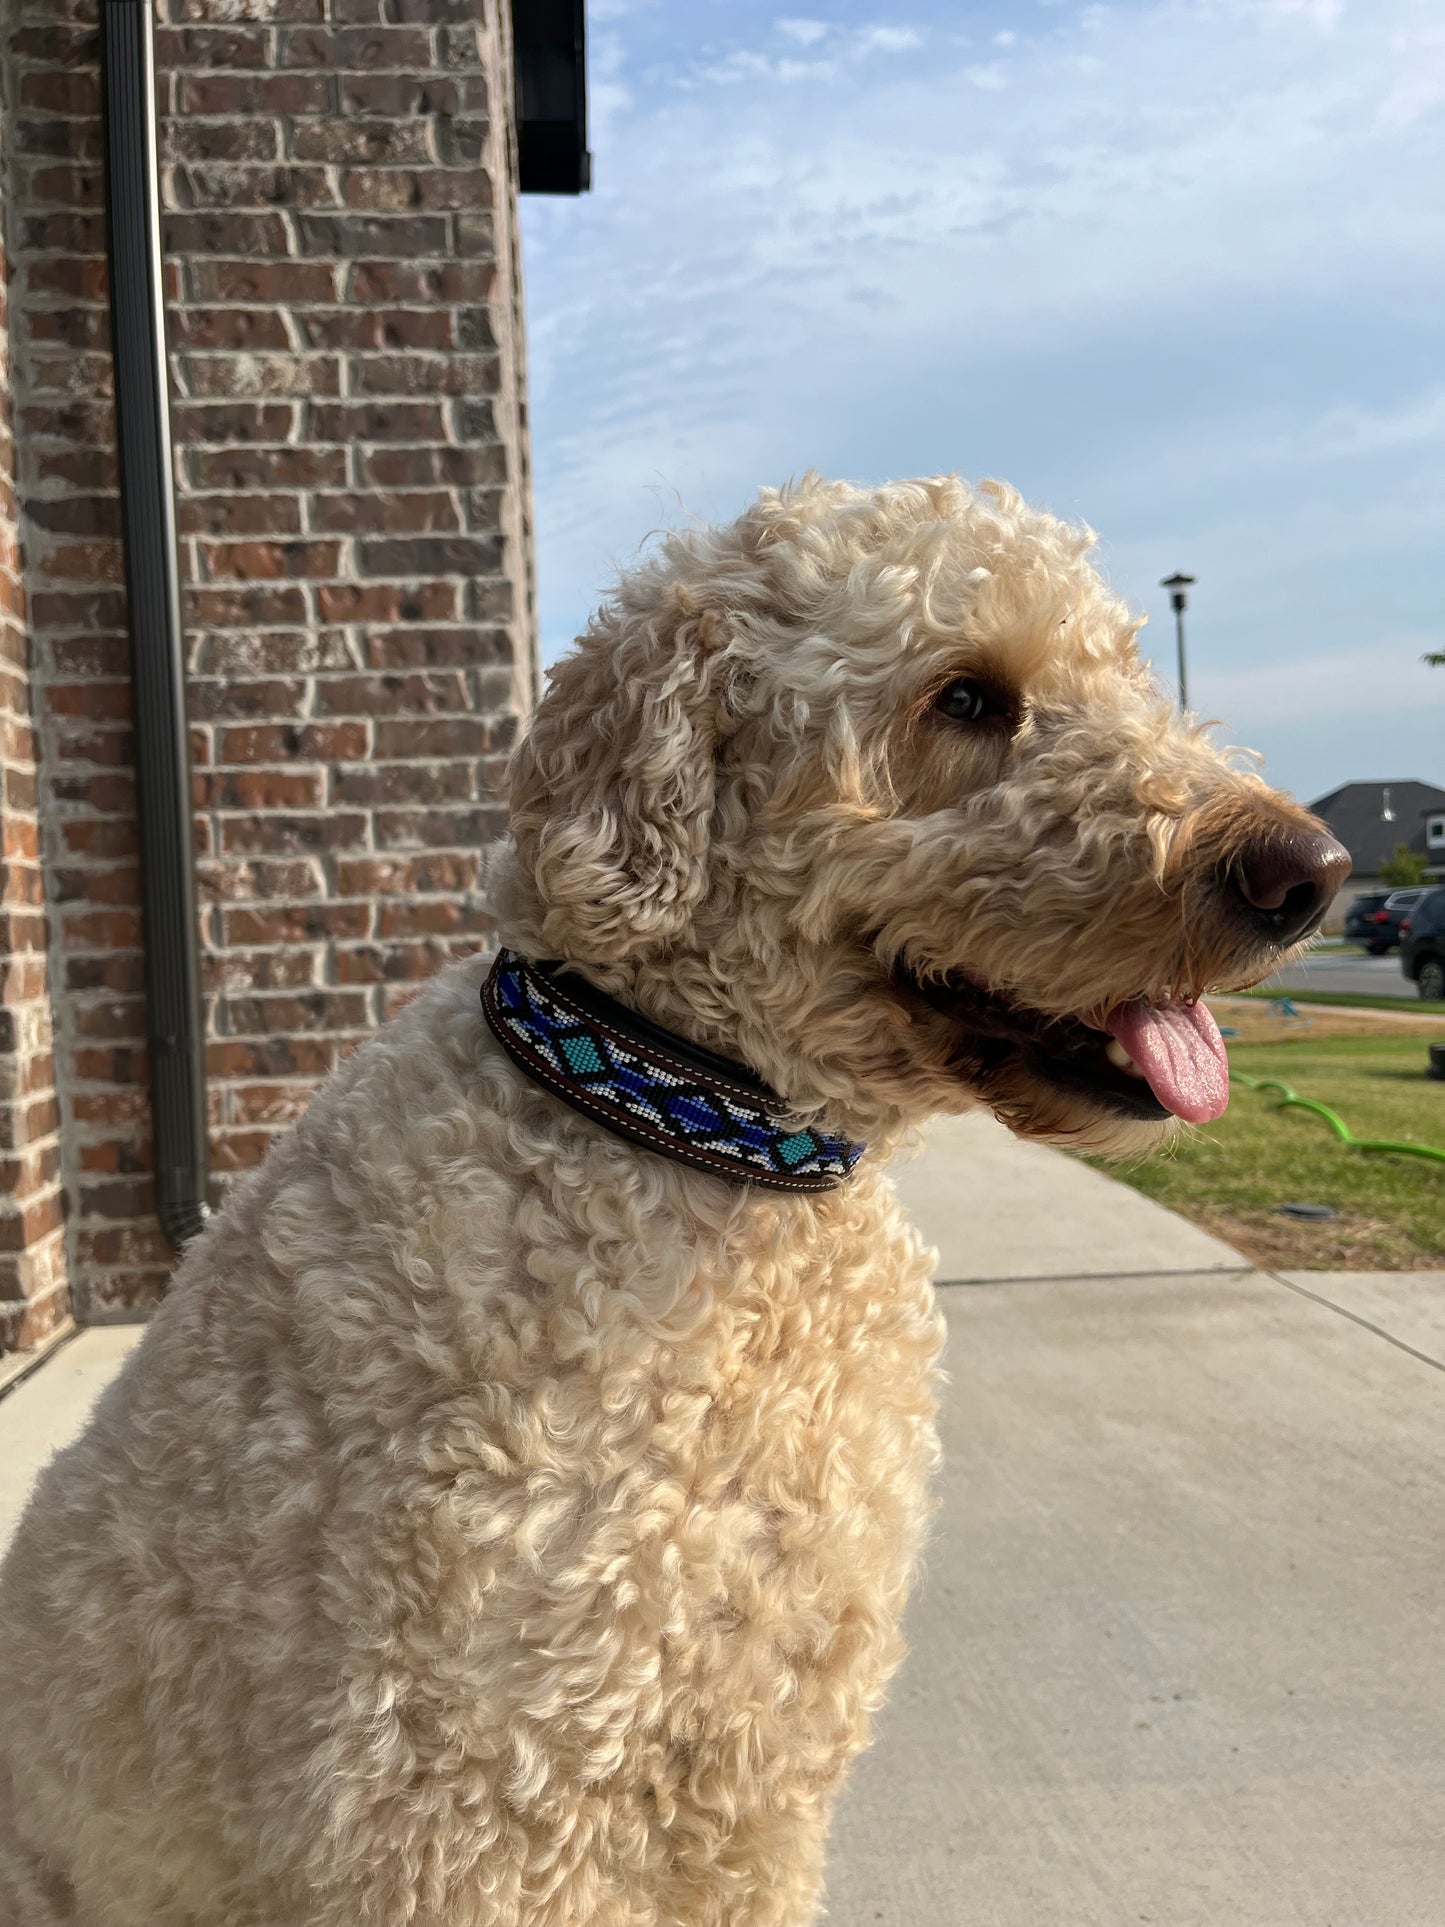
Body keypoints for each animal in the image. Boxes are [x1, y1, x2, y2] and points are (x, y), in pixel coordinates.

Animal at [0, 470, 1356, 1927]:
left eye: (1127, 672)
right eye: (968, 699)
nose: (1310, 872)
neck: (689, 1129)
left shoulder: (757, 1756)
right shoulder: (458, 1795)